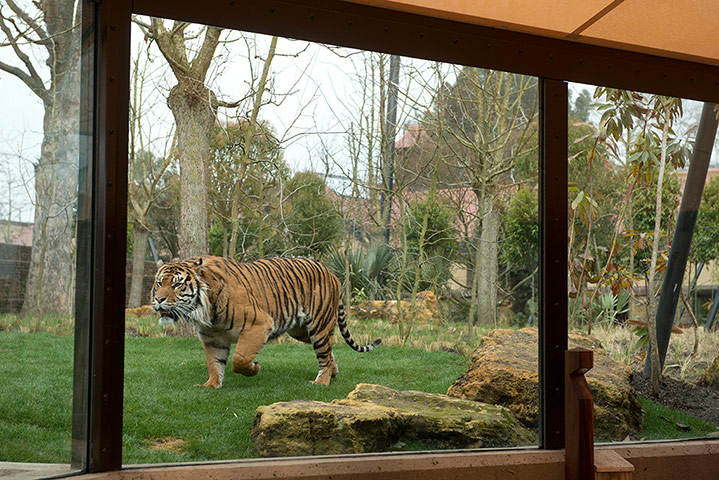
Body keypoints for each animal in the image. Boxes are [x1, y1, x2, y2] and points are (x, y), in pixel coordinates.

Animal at [150, 255, 382, 386]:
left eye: (177, 285)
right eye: (159, 283)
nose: (158, 299)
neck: (204, 310)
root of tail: (332, 274)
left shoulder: (258, 325)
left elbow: (240, 359)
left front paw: (255, 368)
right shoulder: (212, 338)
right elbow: (214, 363)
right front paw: (211, 385)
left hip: (318, 326)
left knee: (324, 354)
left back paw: (321, 382)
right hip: (301, 331)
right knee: (329, 351)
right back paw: (333, 372)